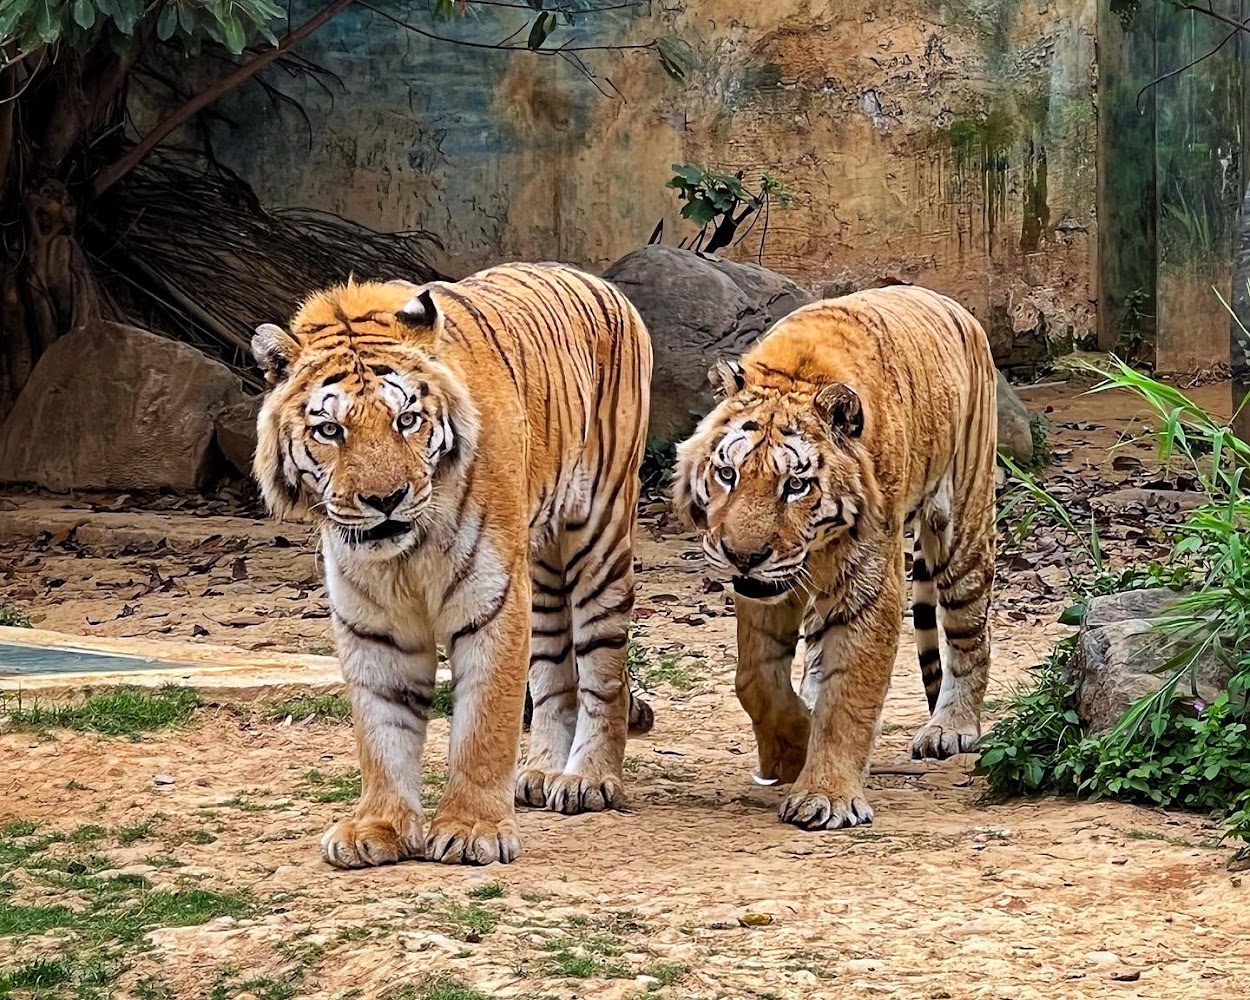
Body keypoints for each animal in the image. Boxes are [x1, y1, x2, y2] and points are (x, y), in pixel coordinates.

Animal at [252, 263, 653, 867]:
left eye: (406, 420)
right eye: (330, 430)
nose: (386, 499)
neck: (405, 554)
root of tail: (597, 279)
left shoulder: (492, 600)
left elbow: (484, 722)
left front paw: (471, 830)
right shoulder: (371, 621)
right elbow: (381, 727)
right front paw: (377, 827)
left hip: (598, 538)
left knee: (603, 669)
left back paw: (587, 779)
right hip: (539, 568)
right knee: (553, 672)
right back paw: (541, 772)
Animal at [673, 284, 996, 831]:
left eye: (795, 485)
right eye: (728, 474)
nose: (742, 556)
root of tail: (950, 304)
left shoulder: (867, 584)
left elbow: (847, 696)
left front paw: (826, 796)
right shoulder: (764, 590)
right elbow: (755, 678)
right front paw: (791, 751)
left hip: (963, 530)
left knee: (969, 635)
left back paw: (951, 728)